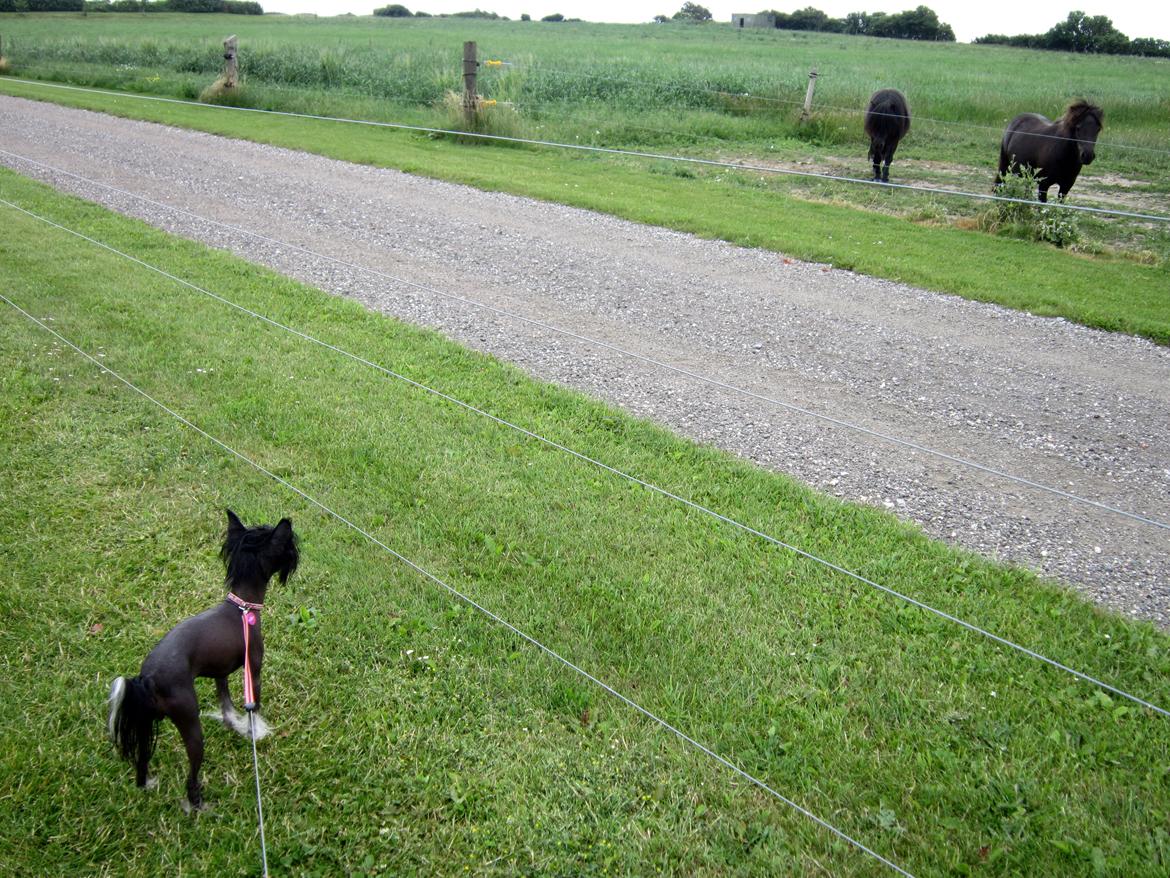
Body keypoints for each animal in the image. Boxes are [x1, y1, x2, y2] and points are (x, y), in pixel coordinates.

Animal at [107, 512, 297, 814]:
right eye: (289, 546)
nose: (296, 554)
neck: (242, 606)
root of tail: (147, 679)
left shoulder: (220, 673)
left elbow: (226, 705)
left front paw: (234, 725)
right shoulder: (253, 669)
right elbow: (254, 708)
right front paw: (255, 733)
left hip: (145, 723)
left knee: (142, 756)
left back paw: (146, 784)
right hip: (189, 723)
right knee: (191, 775)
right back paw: (198, 806)